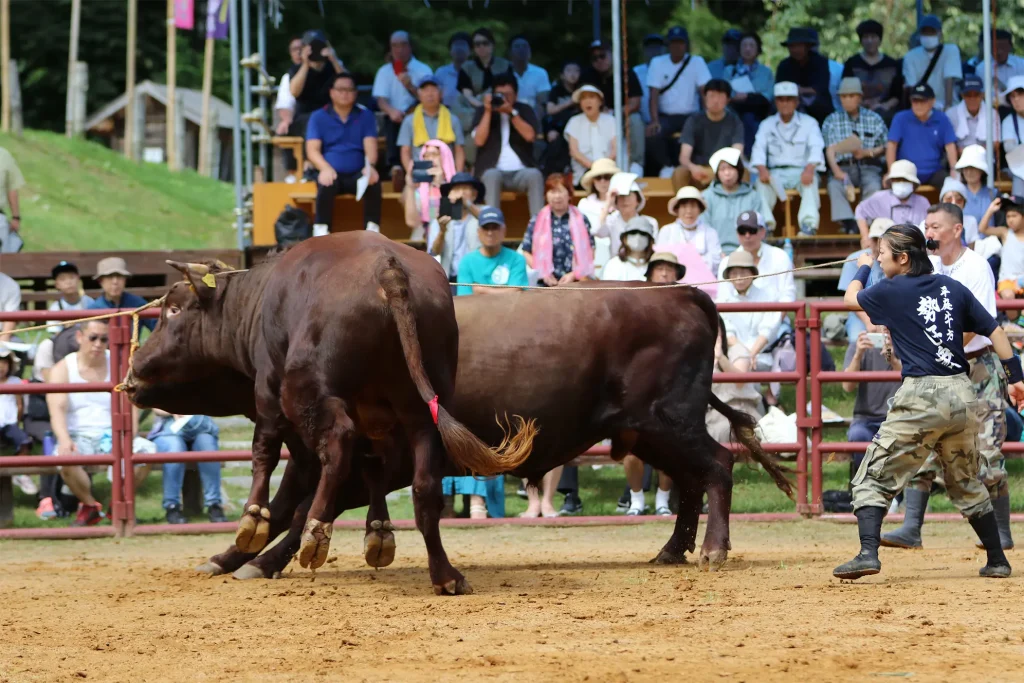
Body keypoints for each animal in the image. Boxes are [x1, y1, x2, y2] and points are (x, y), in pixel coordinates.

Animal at [121, 232, 536, 593]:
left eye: (174, 309)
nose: (135, 367)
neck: (258, 299)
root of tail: (388, 269)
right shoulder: (373, 417)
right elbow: (372, 465)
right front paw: (379, 530)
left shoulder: (268, 391)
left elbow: (265, 451)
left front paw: (253, 520)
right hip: (419, 404)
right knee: (423, 482)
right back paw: (445, 575)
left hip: (304, 390)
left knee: (336, 445)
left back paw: (315, 532)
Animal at [188, 280, 786, 581]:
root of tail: (680, 292)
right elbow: (290, 505)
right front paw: (231, 558)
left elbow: (305, 511)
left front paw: (258, 561)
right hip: (647, 431)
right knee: (690, 480)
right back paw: (671, 550)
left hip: (667, 420)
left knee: (717, 466)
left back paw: (711, 550)